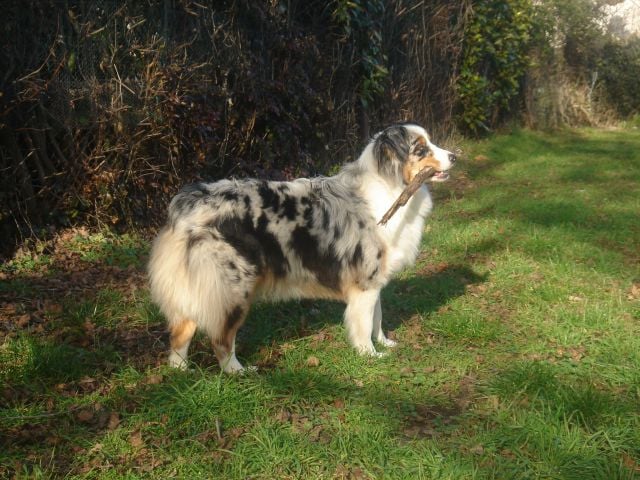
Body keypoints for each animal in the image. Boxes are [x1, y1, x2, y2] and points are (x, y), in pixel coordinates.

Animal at [149, 123, 456, 372]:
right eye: (421, 148)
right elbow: (364, 323)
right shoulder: (364, 282)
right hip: (232, 287)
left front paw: (385, 343)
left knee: (181, 333)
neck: (389, 185)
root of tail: (188, 203)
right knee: (221, 339)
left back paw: (182, 373)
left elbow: (377, 319)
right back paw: (238, 372)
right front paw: (369, 355)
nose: (455, 156)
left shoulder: (373, 278)